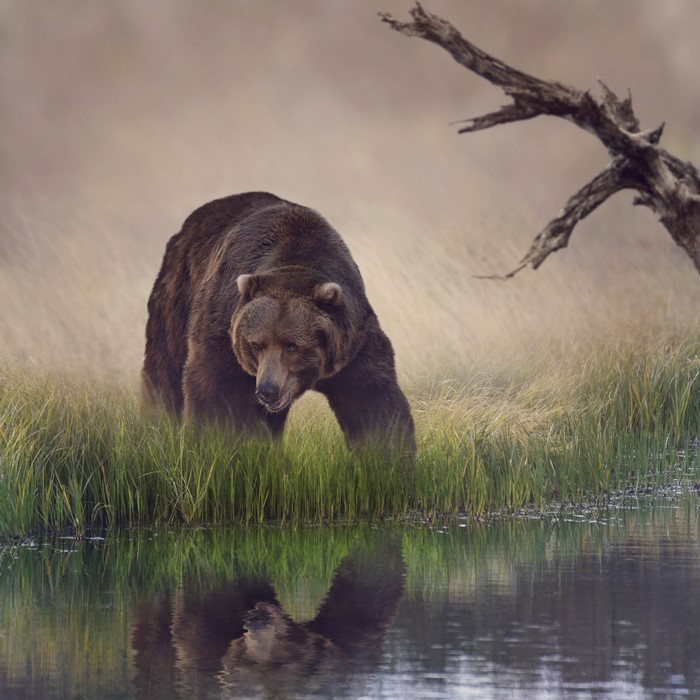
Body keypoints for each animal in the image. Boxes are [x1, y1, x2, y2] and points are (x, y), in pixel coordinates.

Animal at [142, 191, 415, 456]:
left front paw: (385, 457)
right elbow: (214, 390)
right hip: (177, 295)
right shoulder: (223, 330)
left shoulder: (353, 344)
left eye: (292, 345)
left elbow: (372, 400)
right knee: (165, 368)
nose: (267, 390)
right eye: (256, 344)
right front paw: (211, 444)